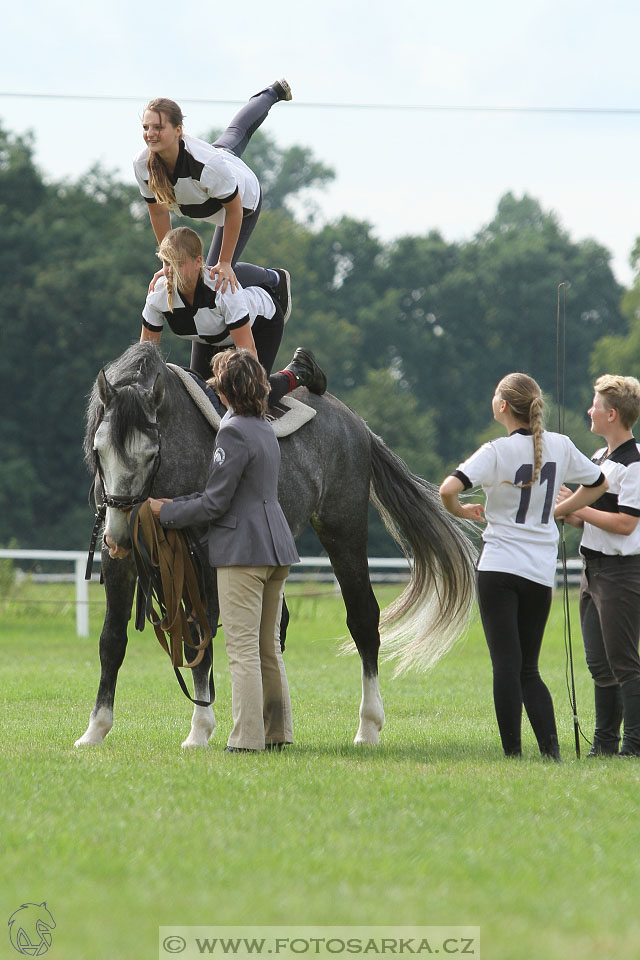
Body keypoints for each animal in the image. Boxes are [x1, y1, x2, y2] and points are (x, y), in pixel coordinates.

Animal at [75, 342, 476, 748]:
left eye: (151, 453)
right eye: (99, 450)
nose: (120, 534)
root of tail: (355, 422)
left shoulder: (201, 561)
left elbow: (197, 639)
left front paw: (199, 729)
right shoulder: (121, 562)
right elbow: (112, 640)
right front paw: (95, 729)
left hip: (343, 533)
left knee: (362, 620)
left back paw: (367, 725)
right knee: (274, 630)